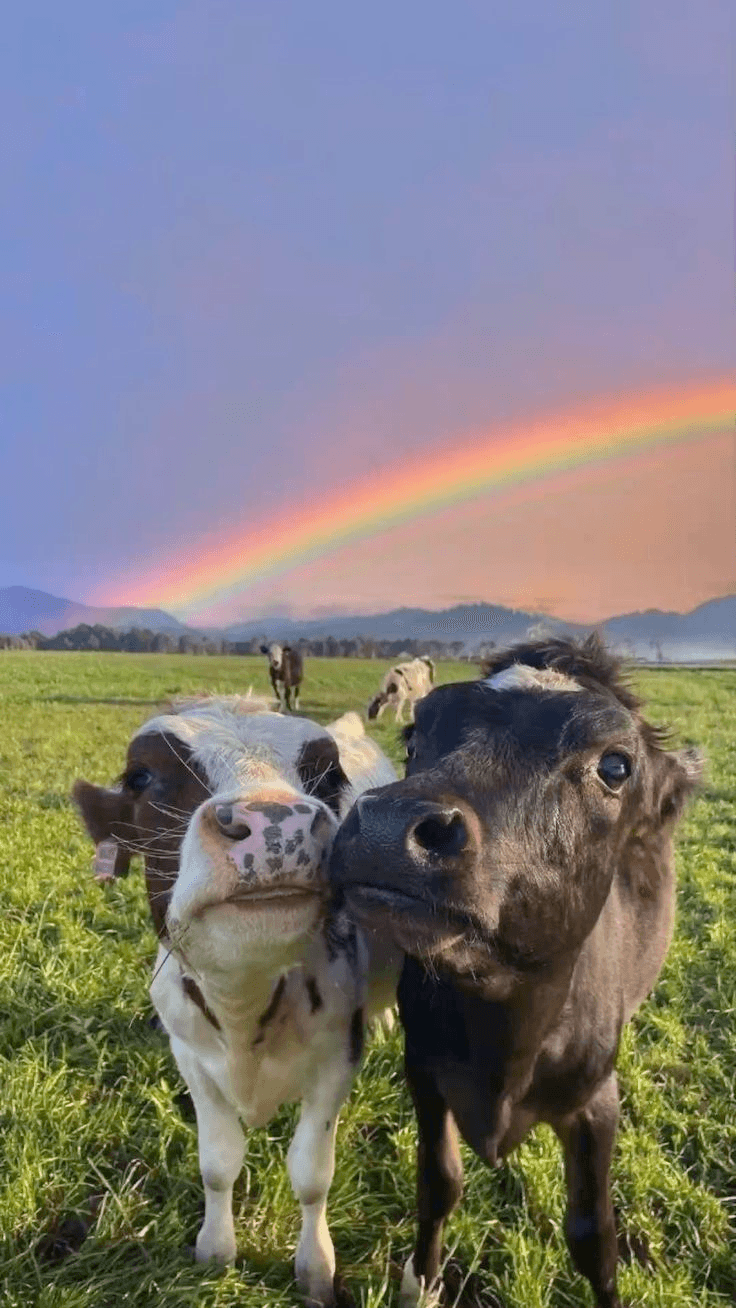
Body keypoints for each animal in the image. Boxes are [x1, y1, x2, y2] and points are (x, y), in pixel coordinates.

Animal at [71, 701, 400, 1302]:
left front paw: (315, 1266)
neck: (245, 1009)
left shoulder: (336, 1060)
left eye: (329, 777)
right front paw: (216, 1250)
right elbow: (218, 1164)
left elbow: (311, 1174)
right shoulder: (191, 1059)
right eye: (141, 777)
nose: (277, 822)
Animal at [330, 638, 705, 1302]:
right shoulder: (425, 1071)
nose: (386, 826)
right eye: (415, 738)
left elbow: (593, 1236)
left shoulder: (596, 1102)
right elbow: (439, 1183)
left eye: (615, 767)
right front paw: (422, 1281)